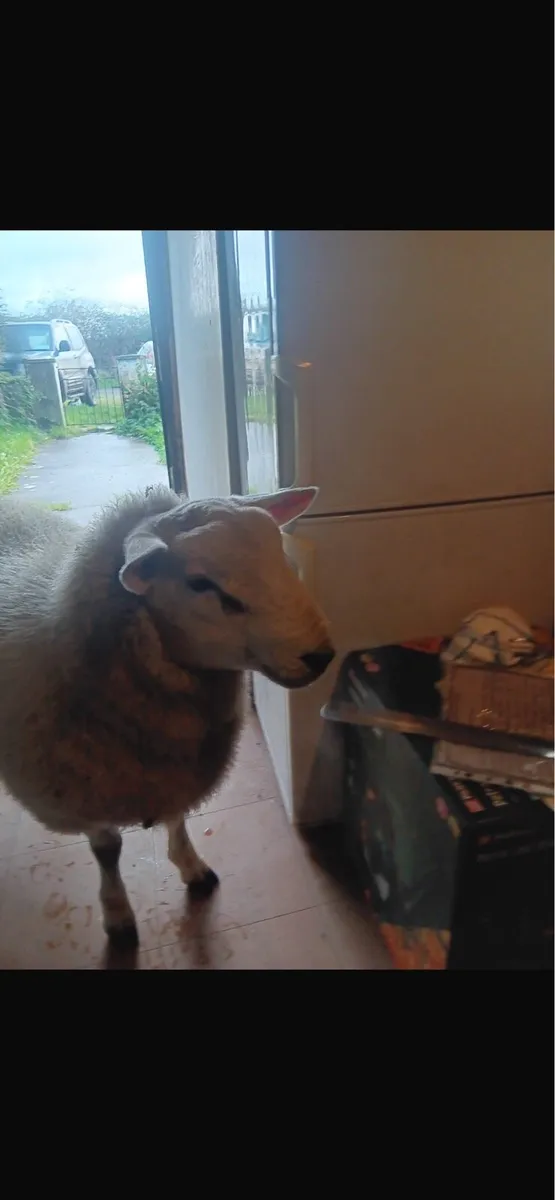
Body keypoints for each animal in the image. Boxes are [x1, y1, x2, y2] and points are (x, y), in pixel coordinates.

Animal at [0, 484, 334, 950]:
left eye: (280, 554)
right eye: (199, 583)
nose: (320, 656)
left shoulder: (174, 768)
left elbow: (177, 817)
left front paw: (193, 868)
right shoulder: (84, 791)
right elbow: (107, 851)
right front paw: (117, 914)